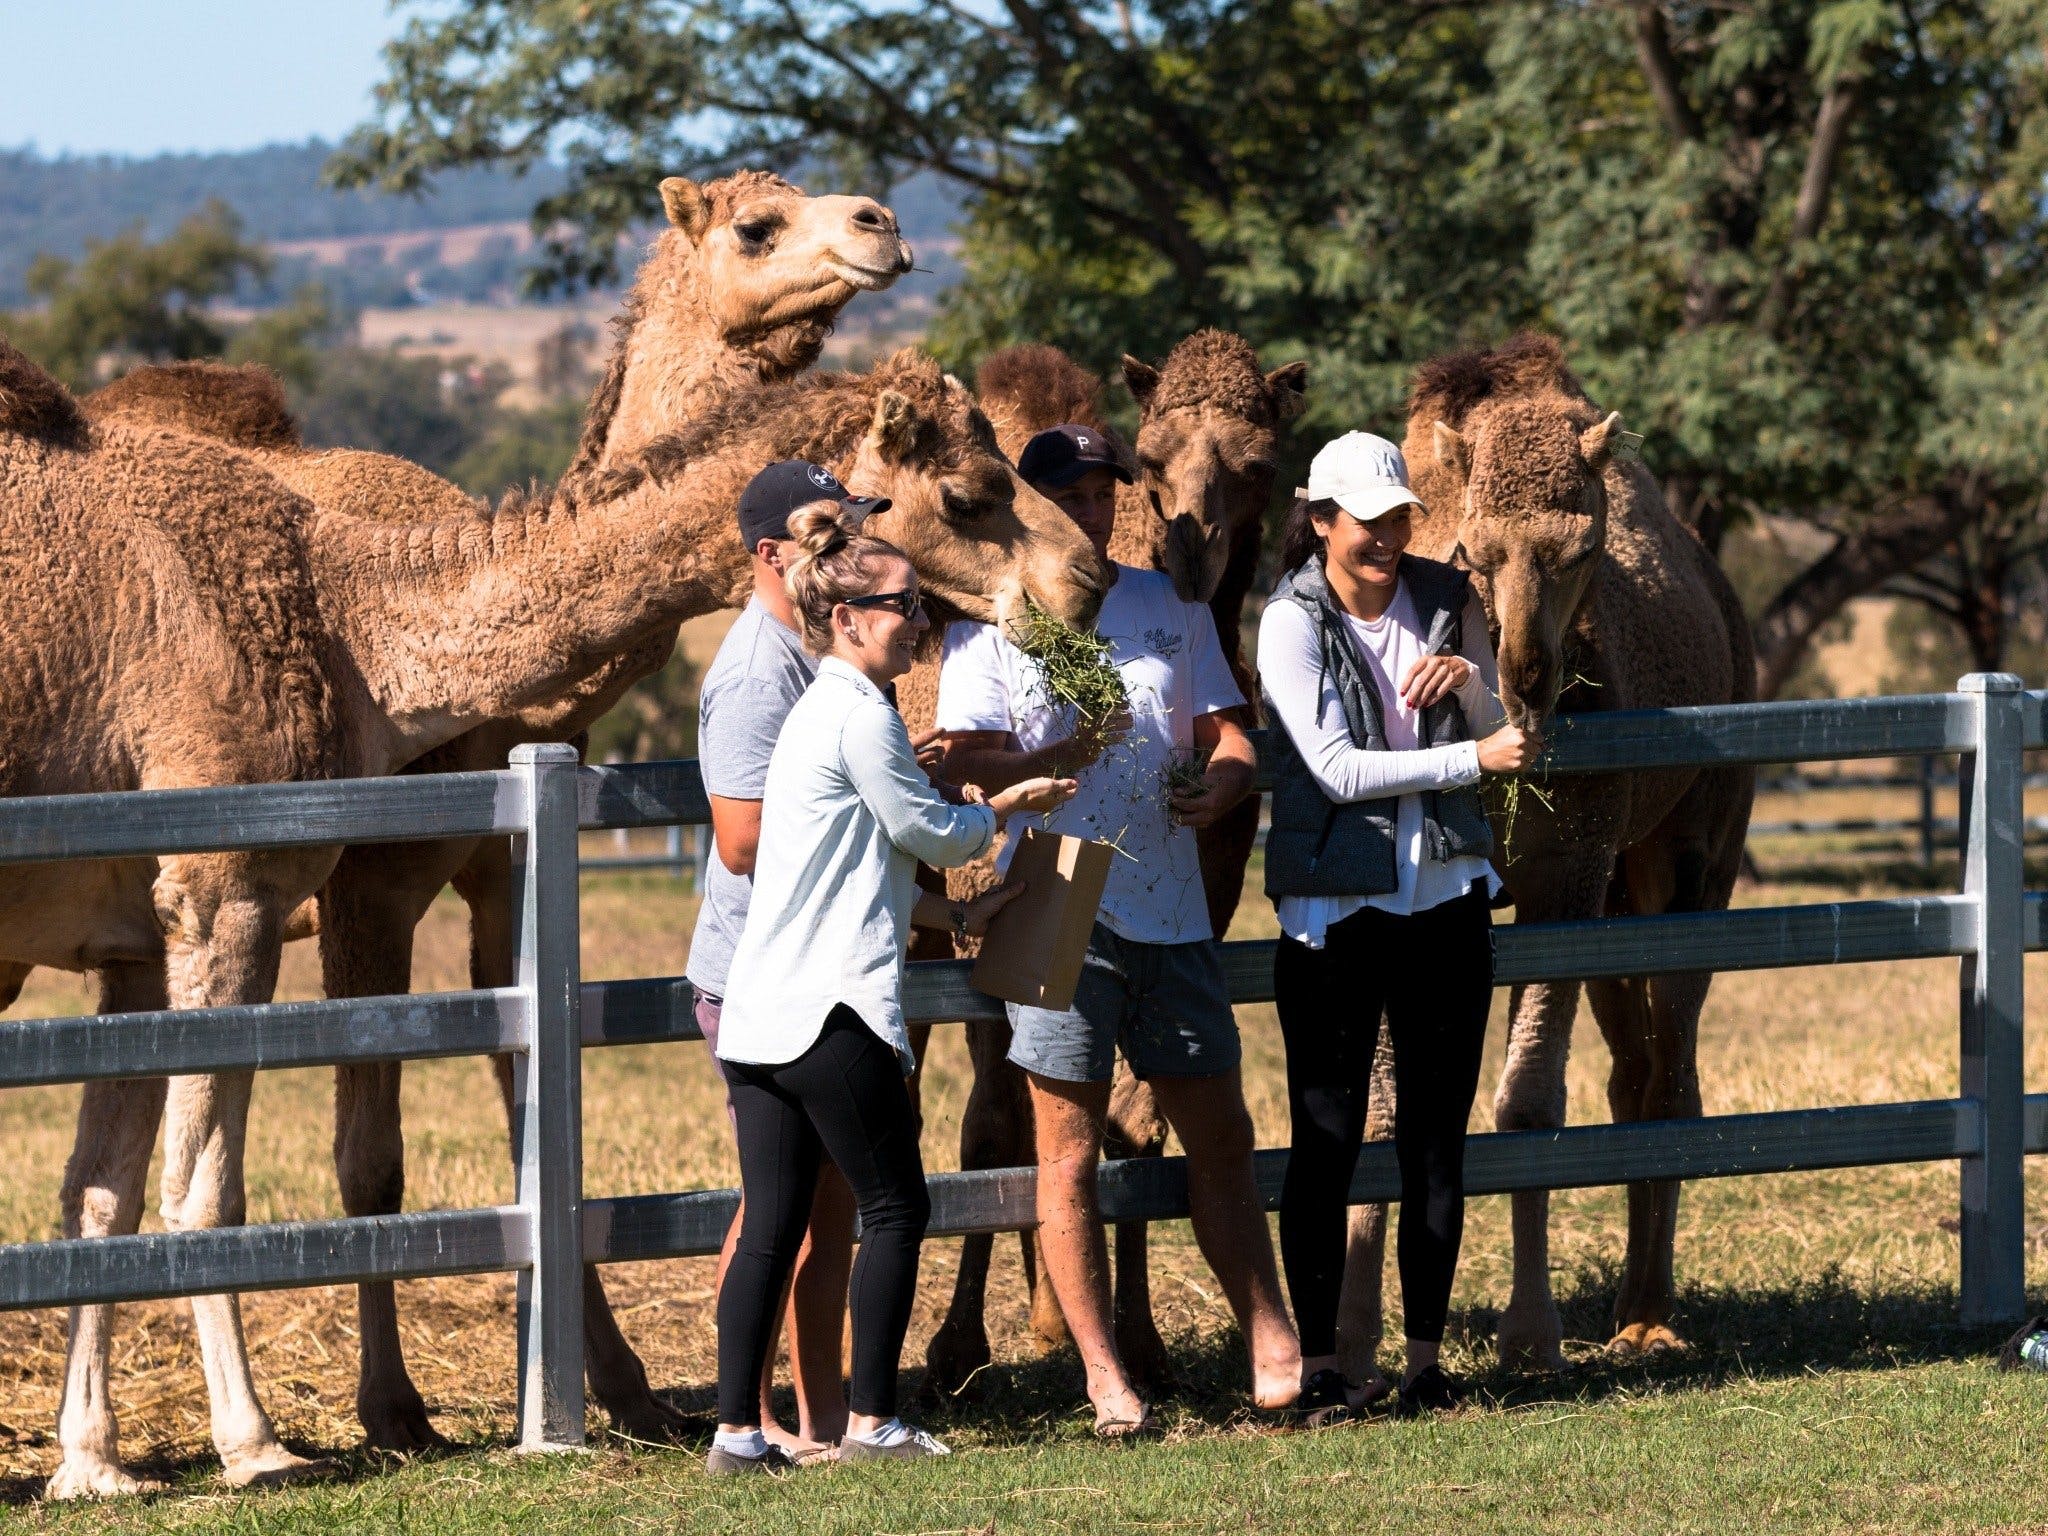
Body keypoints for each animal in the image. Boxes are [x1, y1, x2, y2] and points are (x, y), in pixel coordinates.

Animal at [7, 337, 1104, 1498]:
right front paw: (256, 1445)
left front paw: (90, 1461)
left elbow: (103, 1191)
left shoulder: (135, 933)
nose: (1087, 578)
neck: (347, 618)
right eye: (969, 492)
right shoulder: (230, 886)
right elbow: (207, 1188)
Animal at [80, 169, 920, 1448]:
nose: (881, 224)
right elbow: (368, 1159)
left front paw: (617, 1383)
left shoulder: (501, 867)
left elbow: (533, 1092)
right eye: (755, 225)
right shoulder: (369, 887)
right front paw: (393, 1406)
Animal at [1332, 334, 1755, 1377]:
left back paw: (1649, 1314)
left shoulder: (1564, 876)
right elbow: (1385, 1109)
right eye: (1473, 552)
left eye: (1583, 550)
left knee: (1672, 1071)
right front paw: (1355, 1340)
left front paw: (1530, 1333)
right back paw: (1634, 1306)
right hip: (1619, 892)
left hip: (1696, 855)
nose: (1527, 676)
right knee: (1632, 1073)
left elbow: (1526, 1105)